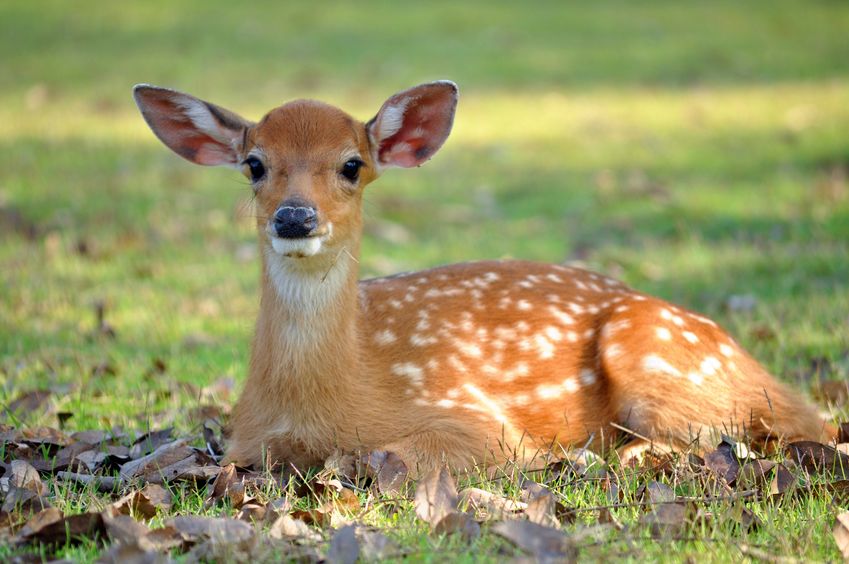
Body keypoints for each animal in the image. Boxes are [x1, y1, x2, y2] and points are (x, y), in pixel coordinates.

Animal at [133, 80, 836, 477]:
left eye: (352, 165)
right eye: (254, 164)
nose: (295, 217)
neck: (329, 392)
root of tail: (784, 387)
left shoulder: (471, 414)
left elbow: (383, 455)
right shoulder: (243, 443)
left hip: (659, 357)